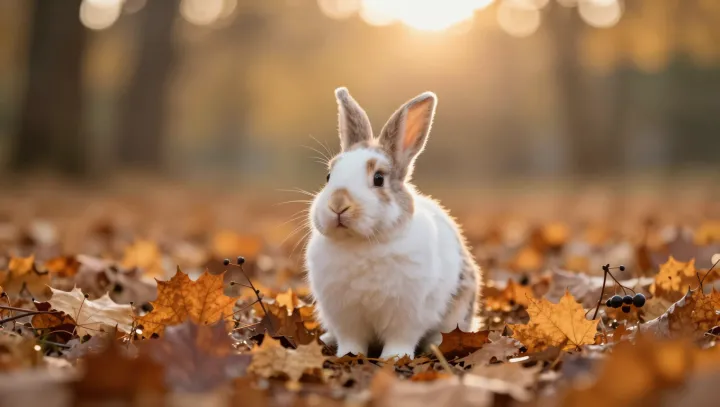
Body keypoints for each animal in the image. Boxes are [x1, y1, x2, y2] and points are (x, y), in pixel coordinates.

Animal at [305, 87, 483, 359]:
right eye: (328, 176)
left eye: (378, 179)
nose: (338, 204)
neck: (362, 243)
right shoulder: (345, 316)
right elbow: (351, 339)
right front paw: (349, 355)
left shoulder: (408, 313)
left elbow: (401, 338)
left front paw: (394, 358)